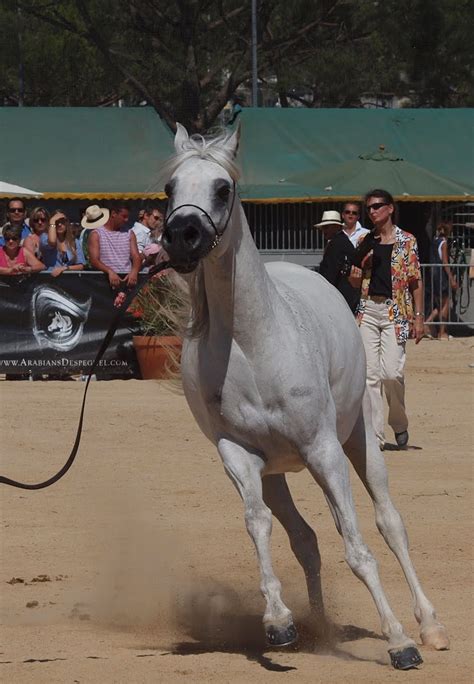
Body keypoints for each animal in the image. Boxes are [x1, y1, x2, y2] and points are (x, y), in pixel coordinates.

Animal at [161, 125, 450, 672]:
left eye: (222, 188)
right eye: (170, 188)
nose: (181, 235)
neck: (253, 345)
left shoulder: (323, 450)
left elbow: (358, 548)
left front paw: (398, 642)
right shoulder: (238, 456)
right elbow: (259, 526)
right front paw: (279, 621)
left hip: (356, 443)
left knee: (389, 525)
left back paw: (429, 625)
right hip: (277, 473)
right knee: (305, 539)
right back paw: (321, 627)